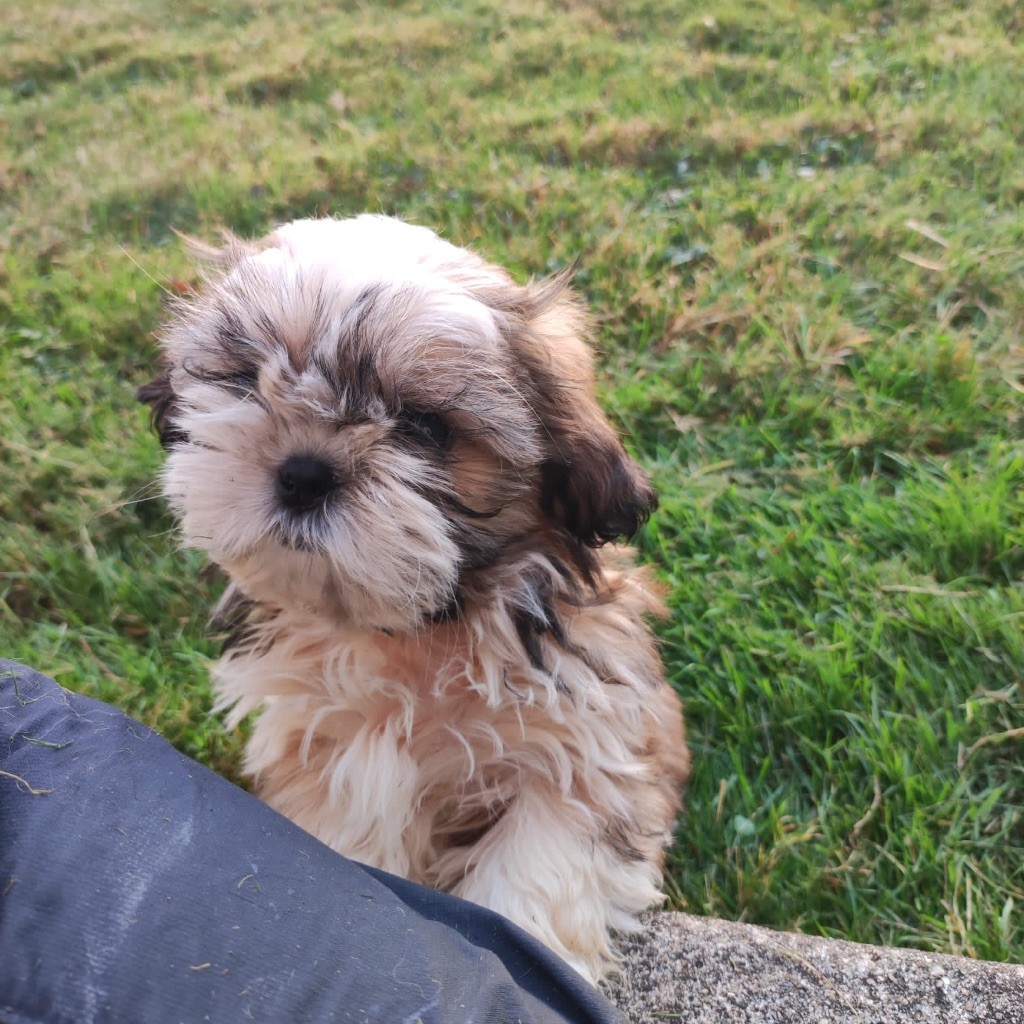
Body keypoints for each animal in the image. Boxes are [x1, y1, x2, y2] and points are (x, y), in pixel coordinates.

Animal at [138, 216, 688, 983]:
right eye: (246, 380)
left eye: (425, 427)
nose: (304, 472)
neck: (412, 633)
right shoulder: (329, 756)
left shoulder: (586, 741)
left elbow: (540, 867)